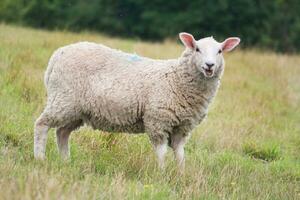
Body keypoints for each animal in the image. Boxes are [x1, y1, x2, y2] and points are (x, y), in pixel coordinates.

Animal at [33, 32, 239, 170]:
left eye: (220, 51)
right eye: (197, 49)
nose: (209, 66)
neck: (177, 79)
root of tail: (58, 54)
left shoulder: (182, 128)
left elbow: (180, 154)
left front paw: (181, 175)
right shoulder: (158, 120)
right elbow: (161, 152)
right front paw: (162, 173)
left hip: (76, 109)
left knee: (62, 133)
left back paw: (66, 161)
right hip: (63, 99)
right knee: (42, 125)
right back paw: (40, 159)